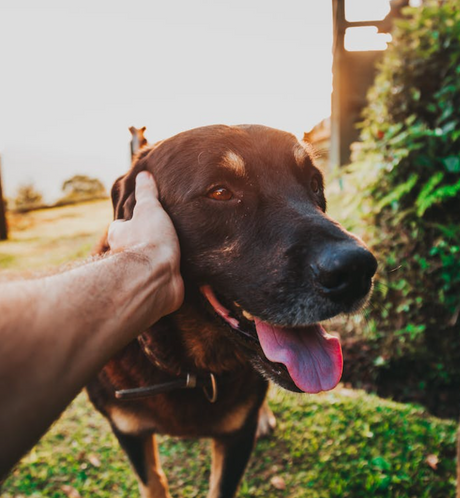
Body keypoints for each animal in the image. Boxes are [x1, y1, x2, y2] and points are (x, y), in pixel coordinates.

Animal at [87, 124, 378, 498]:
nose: (358, 271)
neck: (190, 369)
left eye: (314, 184)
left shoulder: (237, 437)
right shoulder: (129, 431)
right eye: (221, 192)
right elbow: (153, 482)